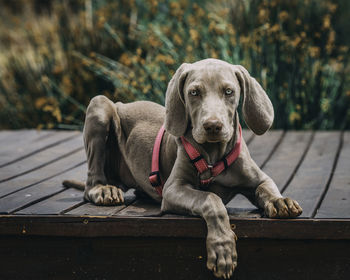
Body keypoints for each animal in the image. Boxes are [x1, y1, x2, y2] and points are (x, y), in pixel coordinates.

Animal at [64, 58, 302, 278]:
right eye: (194, 92)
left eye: (229, 91)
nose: (213, 126)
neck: (213, 156)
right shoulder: (173, 189)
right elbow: (211, 200)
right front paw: (222, 249)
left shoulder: (258, 178)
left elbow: (266, 188)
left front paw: (280, 201)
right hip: (99, 105)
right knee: (91, 182)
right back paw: (104, 190)